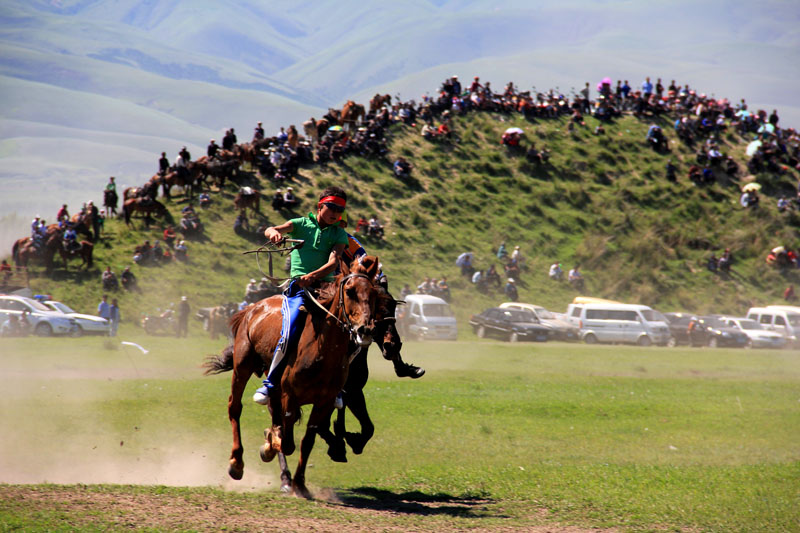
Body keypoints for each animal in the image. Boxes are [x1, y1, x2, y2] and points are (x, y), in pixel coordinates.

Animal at [205, 256, 382, 496]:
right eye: (350, 291)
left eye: (373, 293)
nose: (365, 329)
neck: (321, 349)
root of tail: (251, 308)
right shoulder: (290, 396)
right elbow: (287, 442)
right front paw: (269, 445)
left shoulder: (325, 402)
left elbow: (307, 440)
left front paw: (300, 483)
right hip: (243, 365)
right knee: (235, 407)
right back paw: (237, 463)